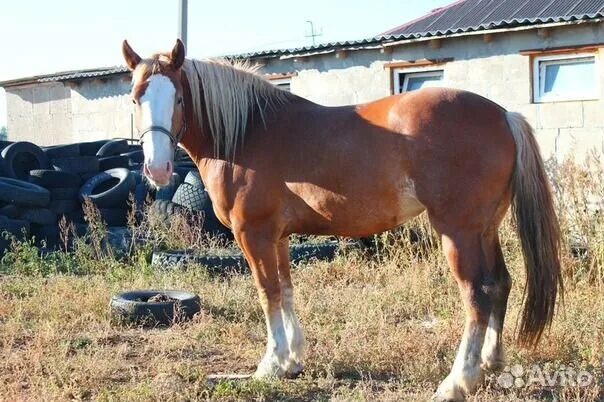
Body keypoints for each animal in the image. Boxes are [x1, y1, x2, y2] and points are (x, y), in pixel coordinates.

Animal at [121, 38, 560, 402]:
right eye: (135, 98)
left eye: (178, 99)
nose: (157, 169)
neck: (247, 133)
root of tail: (503, 115)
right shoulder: (279, 237)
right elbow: (286, 291)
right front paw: (293, 360)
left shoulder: (254, 234)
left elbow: (267, 294)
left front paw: (271, 365)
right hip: (485, 229)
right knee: (500, 284)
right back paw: (491, 363)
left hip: (458, 232)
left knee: (477, 295)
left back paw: (458, 381)